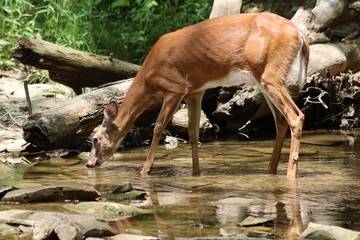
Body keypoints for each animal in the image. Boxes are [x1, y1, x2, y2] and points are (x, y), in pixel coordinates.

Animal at [86, 12, 310, 178]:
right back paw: (270, 170)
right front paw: (196, 173)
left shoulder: (174, 88)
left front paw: (145, 170)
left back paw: (290, 174)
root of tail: (300, 34)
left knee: (296, 116)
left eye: (95, 138)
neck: (149, 79)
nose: (89, 163)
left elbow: (158, 128)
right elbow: (193, 134)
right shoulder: (194, 91)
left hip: (271, 73)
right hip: (263, 79)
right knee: (280, 121)